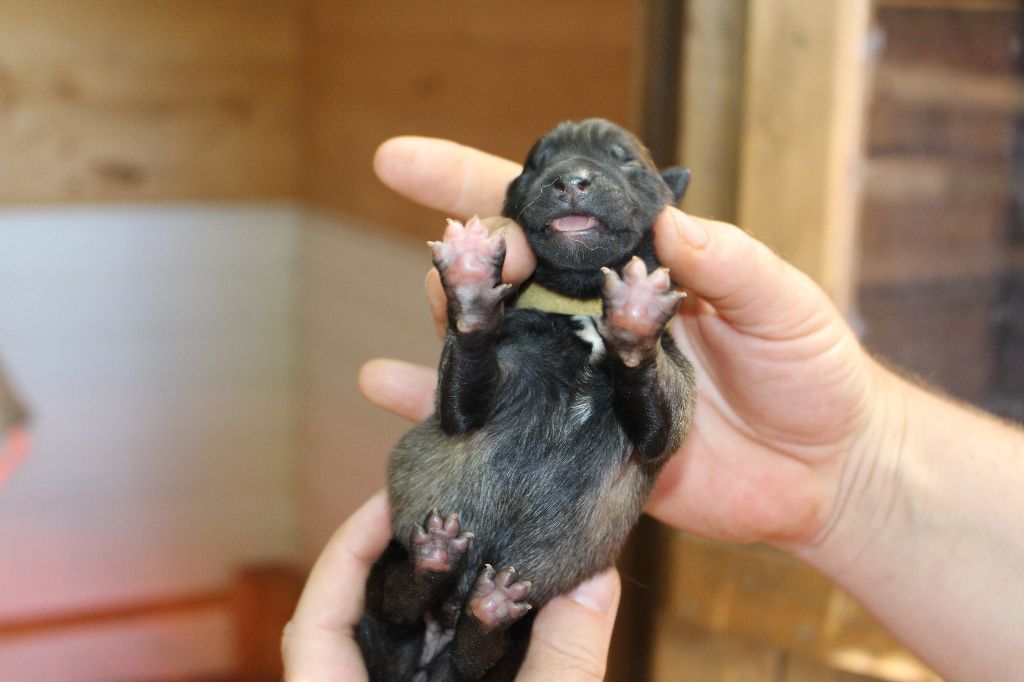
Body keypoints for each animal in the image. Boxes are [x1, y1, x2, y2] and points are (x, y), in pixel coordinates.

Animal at [357, 118, 696, 681]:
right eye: (536, 164)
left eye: (626, 159)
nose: (571, 180)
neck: (579, 305)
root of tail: (433, 652)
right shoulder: (471, 400)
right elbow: (463, 386)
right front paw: (471, 291)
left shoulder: (672, 409)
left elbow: (658, 418)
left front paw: (636, 315)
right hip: (385, 566)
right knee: (394, 602)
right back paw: (433, 563)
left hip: (521, 631)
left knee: (476, 655)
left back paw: (486, 612)